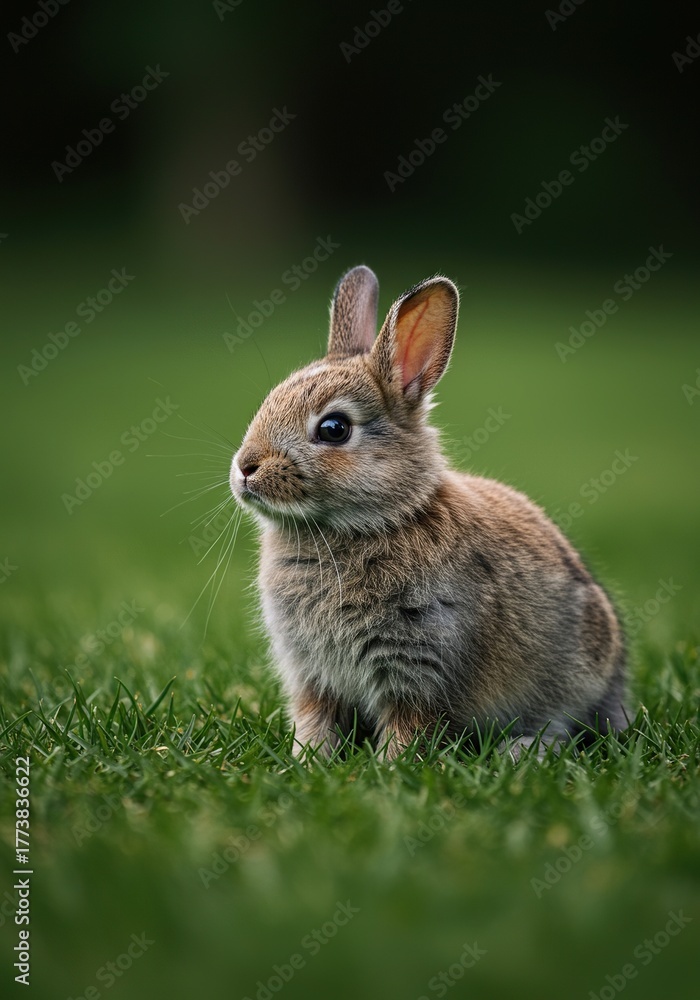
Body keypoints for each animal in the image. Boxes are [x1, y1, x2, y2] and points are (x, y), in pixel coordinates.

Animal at [230, 265, 627, 760]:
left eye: (334, 428)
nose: (245, 467)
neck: (371, 524)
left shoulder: (421, 665)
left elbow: (409, 725)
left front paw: (388, 766)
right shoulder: (311, 676)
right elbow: (314, 720)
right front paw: (308, 760)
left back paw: (518, 750)